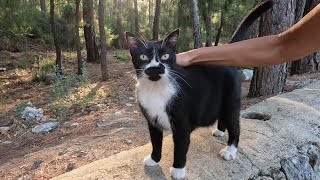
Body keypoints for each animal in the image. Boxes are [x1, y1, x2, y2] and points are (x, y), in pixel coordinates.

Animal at [125, 0, 272, 179]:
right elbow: (155, 141)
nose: (156, 68)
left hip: (231, 98)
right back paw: (220, 131)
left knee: (235, 123)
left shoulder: (182, 122)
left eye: (165, 56)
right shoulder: (152, 120)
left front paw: (178, 170)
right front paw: (154, 159)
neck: (156, 89)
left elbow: (180, 147)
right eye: (143, 57)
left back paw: (230, 150)